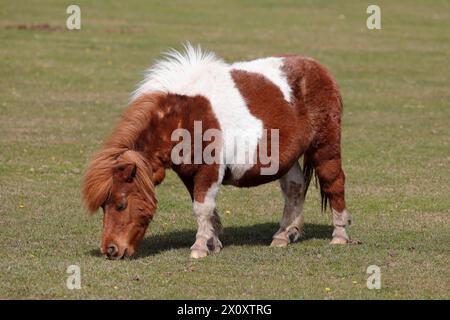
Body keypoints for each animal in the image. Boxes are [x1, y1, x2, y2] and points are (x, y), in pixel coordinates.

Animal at [82, 43, 354, 260]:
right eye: (104, 206)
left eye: (120, 204)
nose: (111, 250)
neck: (184, 116)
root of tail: (320, 69)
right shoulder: (188, 173)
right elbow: (205, 208)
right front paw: (213, 242)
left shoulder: (209, 169)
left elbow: (202, 207)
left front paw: (200, 247)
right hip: (286, 158)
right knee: (295, 188)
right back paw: (283, 235)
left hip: (324, 147)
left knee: (334, 182)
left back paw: (339, 234)